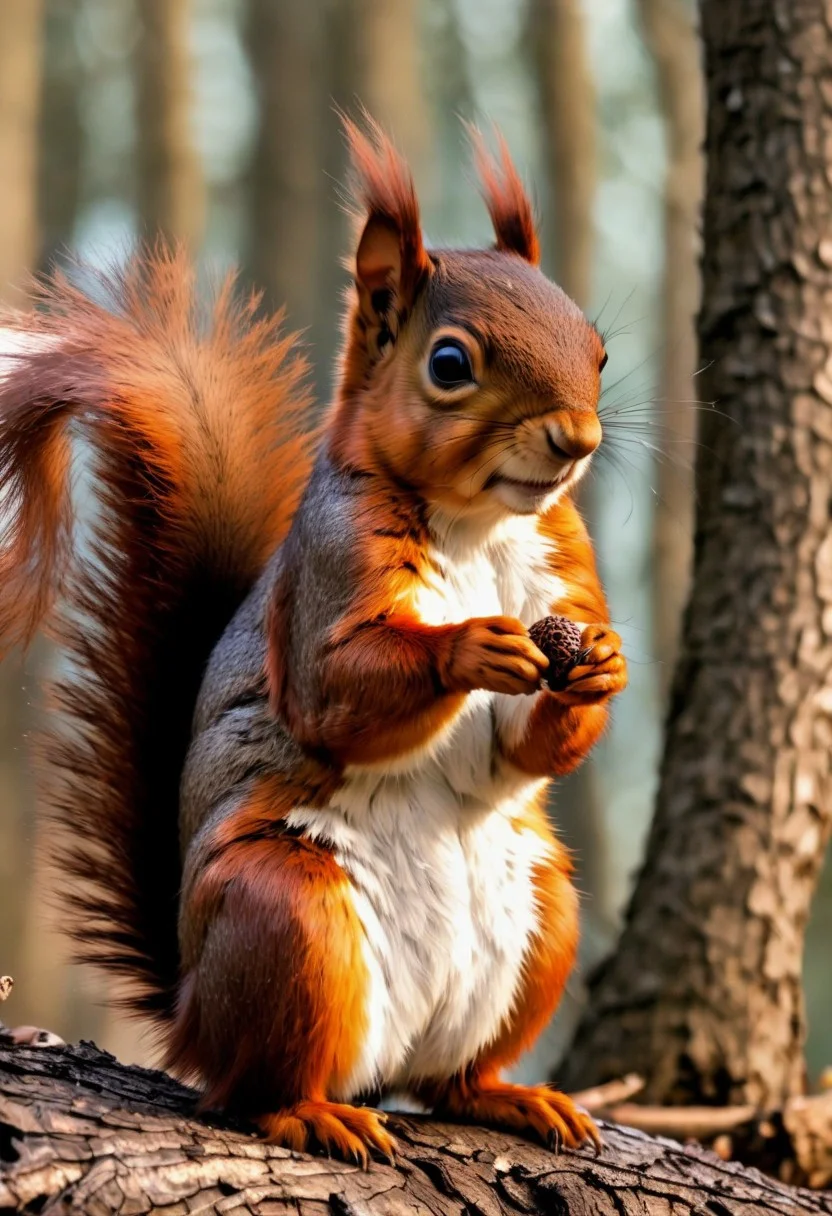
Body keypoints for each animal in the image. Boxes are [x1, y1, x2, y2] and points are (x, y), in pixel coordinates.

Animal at [0, 117, 626, 1164]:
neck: (476, 525)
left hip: (544, 917)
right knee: (251, 1086)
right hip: (286, 921)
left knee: (448, 1082)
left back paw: (510, 1097)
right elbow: (334, 693)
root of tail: (190, 1008)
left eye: (600, 349)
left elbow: (525, 745)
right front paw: (470, 648)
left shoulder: (562, 566)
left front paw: (603, 668)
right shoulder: (330, 571)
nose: (576, 439)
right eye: (449, 364)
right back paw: (307, 1111)